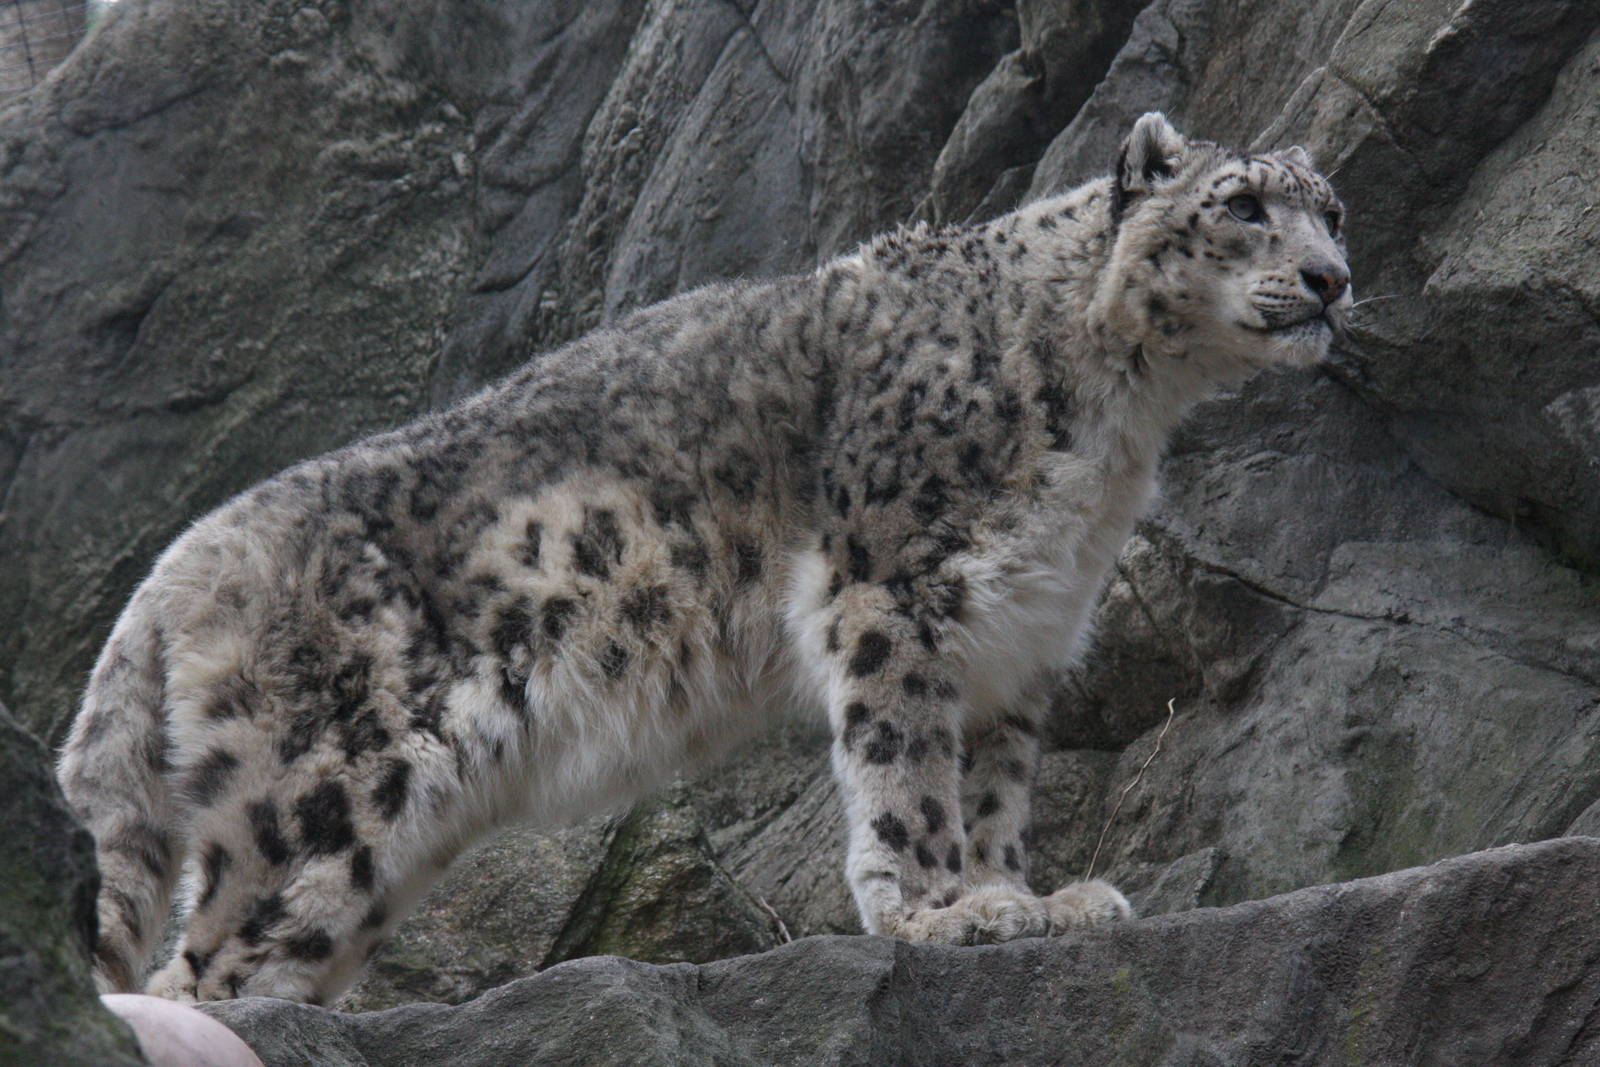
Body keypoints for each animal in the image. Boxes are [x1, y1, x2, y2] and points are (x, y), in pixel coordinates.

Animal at [56, 112, 1351, 1003]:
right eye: (1241, 203)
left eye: (1329, 209)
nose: (1332, 278)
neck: (1120, 419)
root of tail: (180, 561)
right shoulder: (896, 583)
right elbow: (906, 762)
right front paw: (942, 914)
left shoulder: (1020, 637)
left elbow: (991, 784)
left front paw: (1025, 895)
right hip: (322, 786)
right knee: (199, 962)